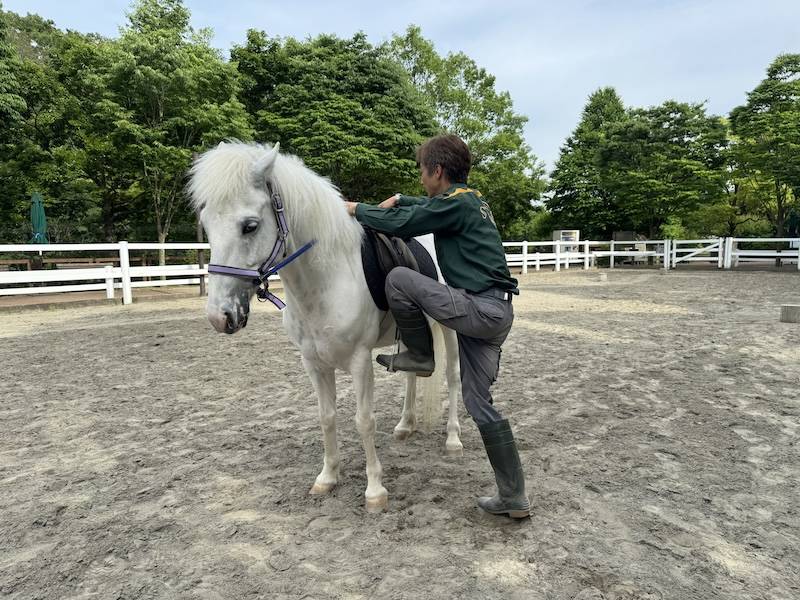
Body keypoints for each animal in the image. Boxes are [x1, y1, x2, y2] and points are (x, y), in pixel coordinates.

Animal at [188, 141, 463, 512]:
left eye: (250, 226)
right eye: (206, 223)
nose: (220, 316)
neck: (328, 278)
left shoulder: (360, 362)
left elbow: (364, 421)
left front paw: (375, 490)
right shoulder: (313, 363)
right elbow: (327, 417)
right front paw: (328, 477)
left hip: (450, 330)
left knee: (452, 376)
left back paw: (453, 438)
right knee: (412, 374)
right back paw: (405, 425)